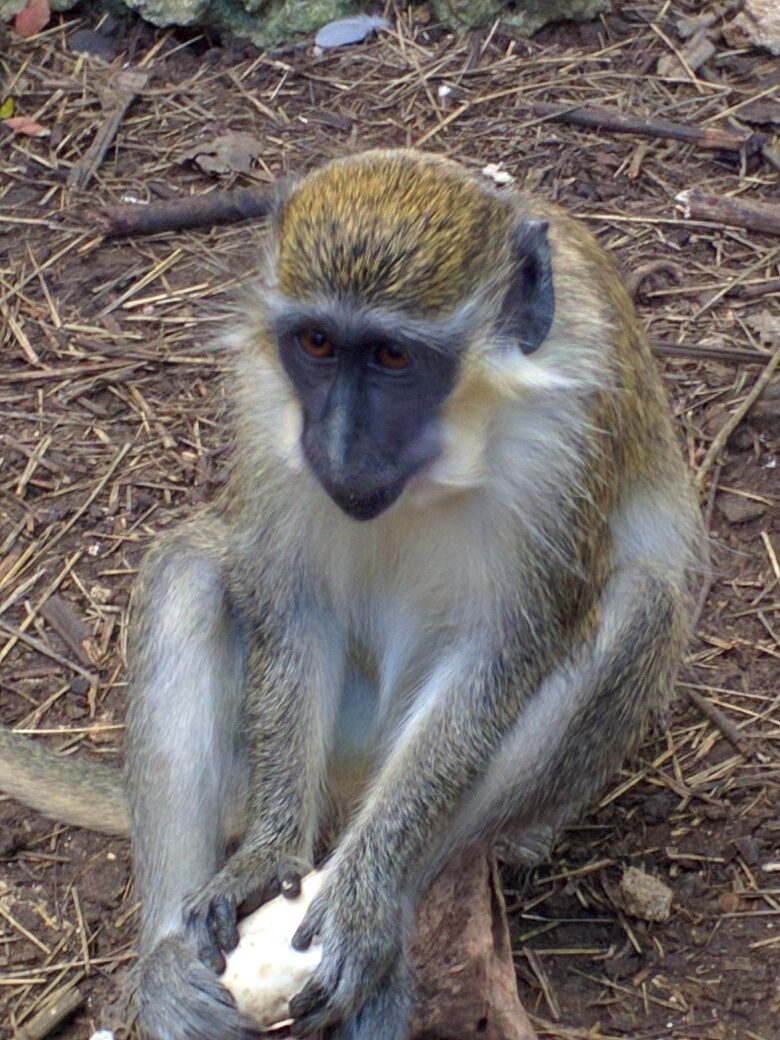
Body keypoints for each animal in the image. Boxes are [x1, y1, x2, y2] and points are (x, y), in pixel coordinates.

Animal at [0, 149, 705, 1040]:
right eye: (316, 343)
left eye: (394, 358)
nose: (333, 446)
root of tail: (344, 792)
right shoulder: (263, 400)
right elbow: (294, 603)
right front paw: (265, 856)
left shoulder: (572, 438)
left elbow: (504, 653)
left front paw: (369, 904)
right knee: (190, 571)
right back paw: (169, 965)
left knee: (637, 609)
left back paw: (386, 938)